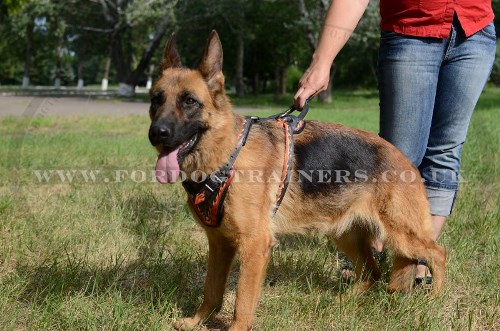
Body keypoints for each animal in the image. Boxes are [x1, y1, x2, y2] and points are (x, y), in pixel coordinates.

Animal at [147, 31, 446, 331]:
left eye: (189, 101)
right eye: (156, 99)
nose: (157, 133)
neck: (228, 153)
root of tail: (405, 159)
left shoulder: (254, 246)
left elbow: (242, 301)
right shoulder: (220, 244)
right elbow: (211, 290)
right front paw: (197, 321)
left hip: (401, 234)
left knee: (437, 253)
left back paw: (434, 300)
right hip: (345, 234)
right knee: (371, 272)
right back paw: (341, 302)